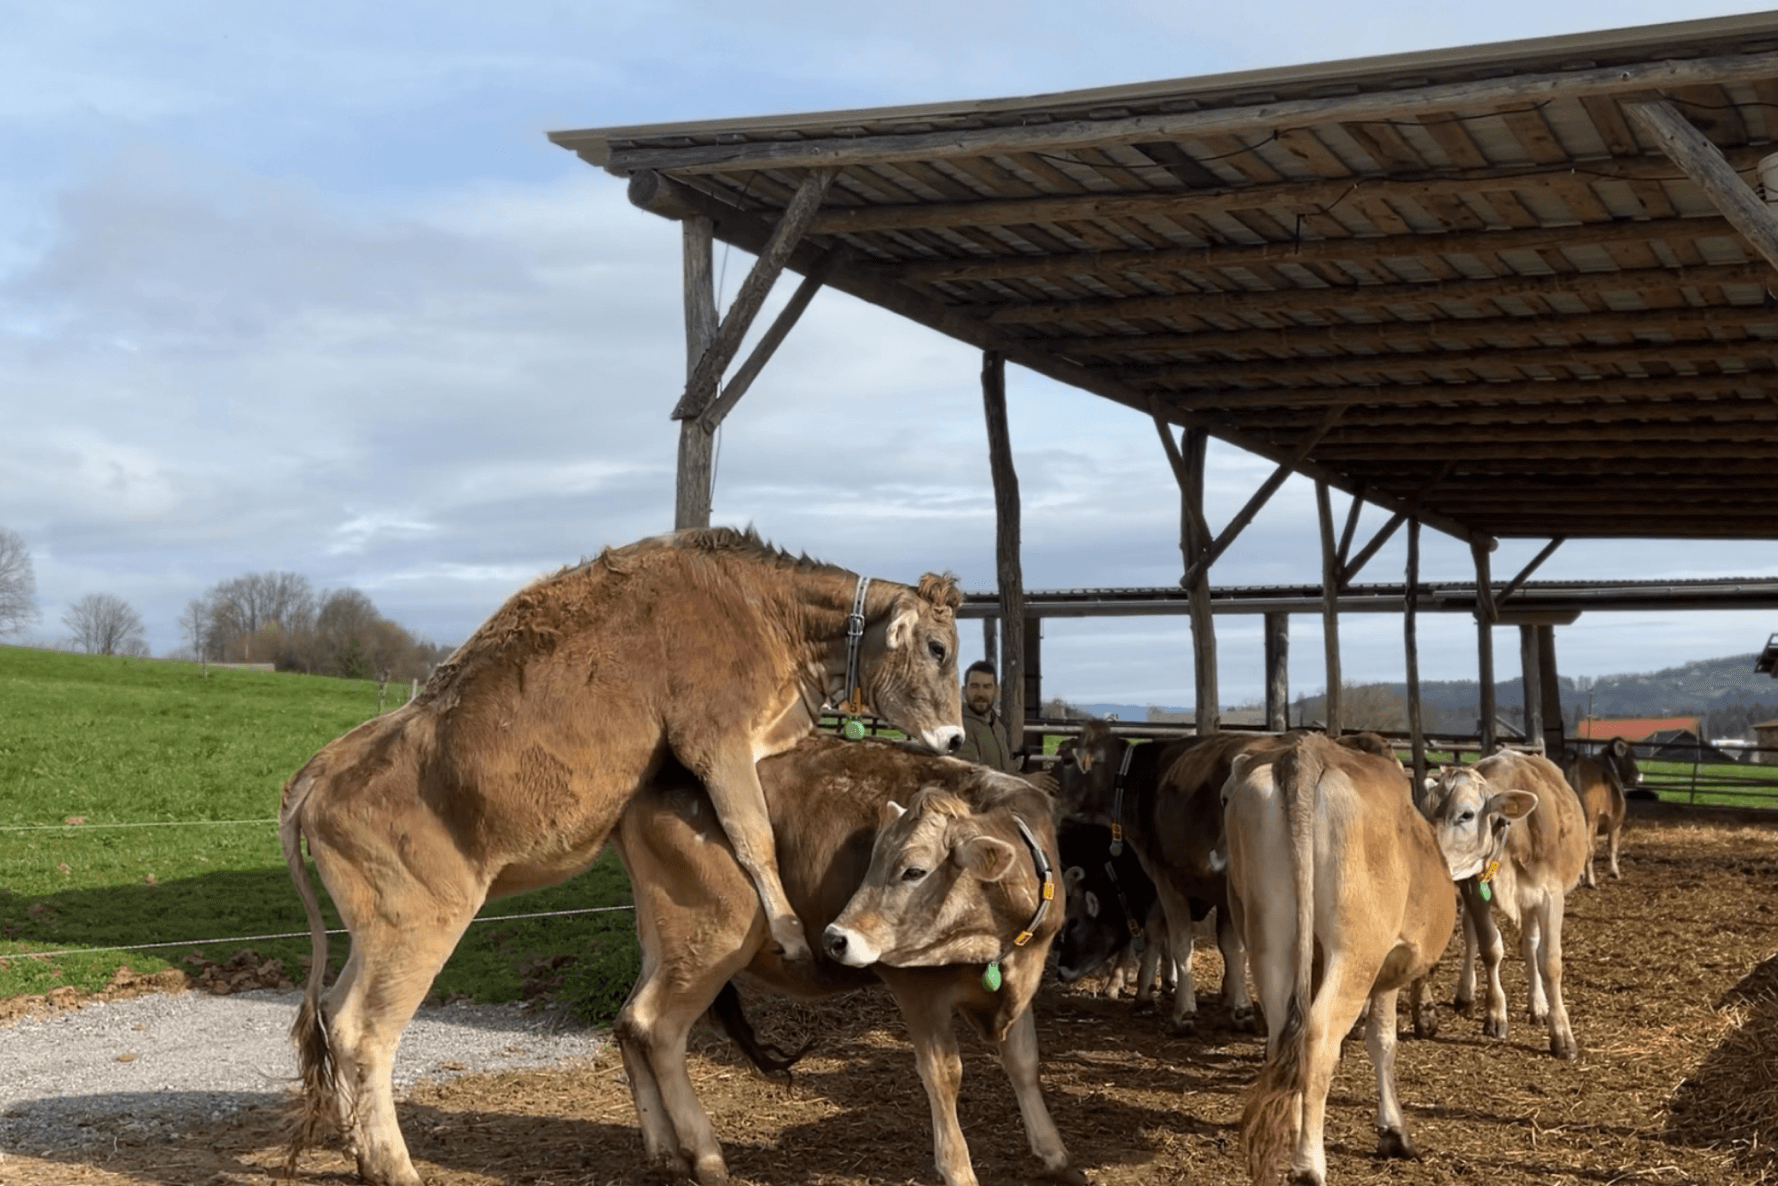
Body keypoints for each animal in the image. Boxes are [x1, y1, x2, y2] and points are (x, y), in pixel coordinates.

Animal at [279, 529, 967, 1186]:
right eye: (937, 649)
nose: (957, 736)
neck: (759, 605)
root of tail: (320, 770)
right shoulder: (714, 737)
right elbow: (751, 834)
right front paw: (790, 930)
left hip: (373, 935)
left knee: (334, 1012)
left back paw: (365, 1155)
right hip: (417, 926)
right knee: (363, 1034)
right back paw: (395, 1166)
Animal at [611, 743, 1081, 1186]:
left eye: (914, 871)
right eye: (872, 859)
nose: (835, 938)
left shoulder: (1021, 978)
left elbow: (1024, 1062)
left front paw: (1056, 1155)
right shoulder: (916, 986)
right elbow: (944, 1074)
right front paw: (958, 1169)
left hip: (664, 948)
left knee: (628, 1021)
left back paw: (665, 1152)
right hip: (710, 944)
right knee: (658, 1031)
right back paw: (706, 1156)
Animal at [1230, 732, 1479, 1186]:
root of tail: (1309, 750)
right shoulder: (1389, 966)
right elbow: (1383, 1041)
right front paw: (1393, 1132)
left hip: (1269, 934)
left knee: (1282, 1036)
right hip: (1357, 952)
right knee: (1318, 1035)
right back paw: (1309, 1164)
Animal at [1415, 746, 1585, 1059]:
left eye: (1466, 814)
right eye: (1425, 812)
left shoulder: (1550, 895)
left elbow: (1549, 961)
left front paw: (1562, 1034)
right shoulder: (1474, 887)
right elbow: (1489, 948)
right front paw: (1495, 1014)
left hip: (1530, 902)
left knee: (1530, 944)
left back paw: (1537, 1005)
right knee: (1470, 934)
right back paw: (1466, 995)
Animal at [1571, 736, 1635, 885]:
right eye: (1631, 755)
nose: (1636, 776)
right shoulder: (1616, 824)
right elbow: (1612, 848)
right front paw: (1615, 872)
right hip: (1590, 820)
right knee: (1589, 848)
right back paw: (1591, 881)